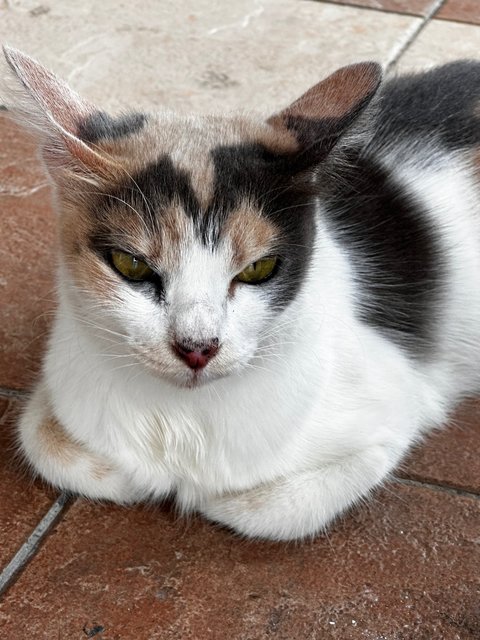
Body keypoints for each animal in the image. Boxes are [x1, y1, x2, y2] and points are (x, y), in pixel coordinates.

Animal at [3, 45, 480, 540]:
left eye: (259, 268)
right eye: (131, 264)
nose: (197, 347)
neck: (183, 418)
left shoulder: (397, 405)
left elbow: (271, 506)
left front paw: (202, 493)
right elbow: (42, 439)